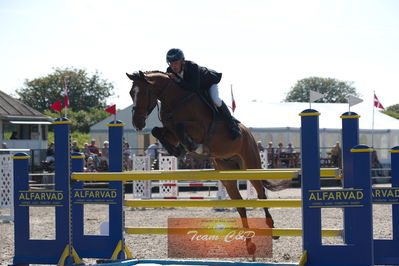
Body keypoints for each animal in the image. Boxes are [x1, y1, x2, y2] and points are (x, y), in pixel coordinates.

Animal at [126, 71, 290, 254]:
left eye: (144, 93)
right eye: (131, 93)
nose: (137, 123)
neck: (175, 100)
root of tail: (249, 135)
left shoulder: (199, 129)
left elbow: (180, 126)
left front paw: (191, 147)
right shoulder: (170, 132)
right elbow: (158, 131)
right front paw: (178, 150)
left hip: (251, 165)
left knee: (261, 195)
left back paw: (272, 230)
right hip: (228, 176)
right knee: (240, 205)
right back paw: (249, 243)